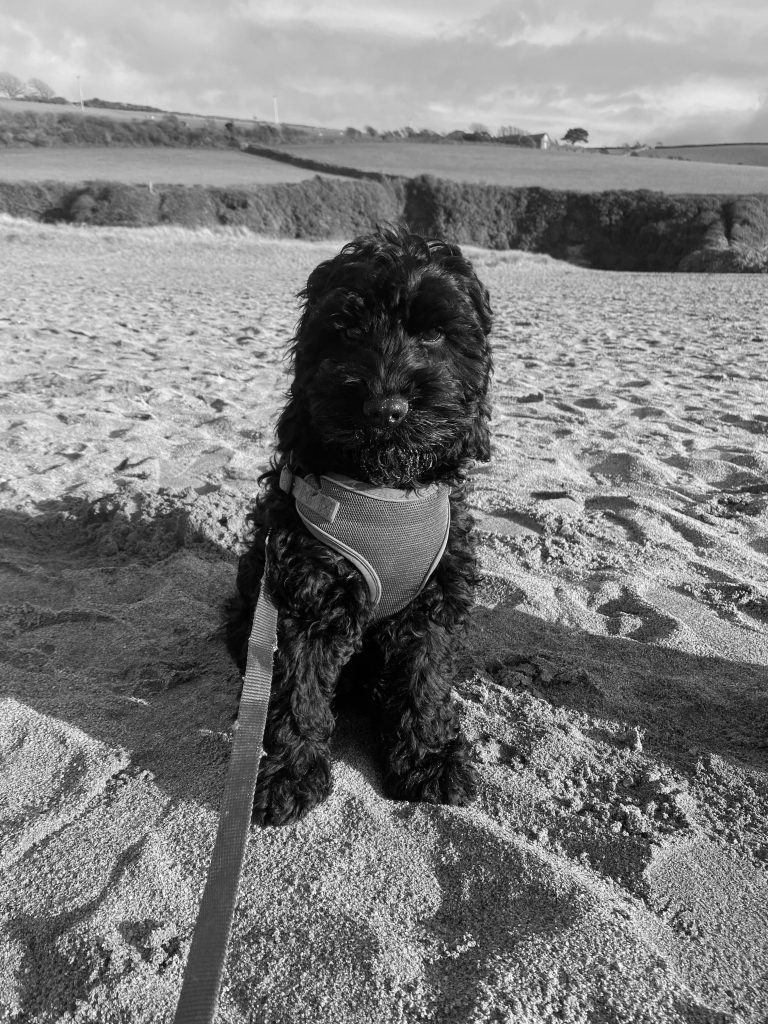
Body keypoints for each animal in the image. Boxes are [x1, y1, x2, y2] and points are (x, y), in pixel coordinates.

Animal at [225, 224, 495, 823]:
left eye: (435, 333)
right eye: (345, 330)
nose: (386, 408)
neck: (383, 489)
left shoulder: (432, 604)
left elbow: (425, 683)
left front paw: (430, 760)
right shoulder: (304, 598)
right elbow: (295, 692)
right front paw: (287, 775)